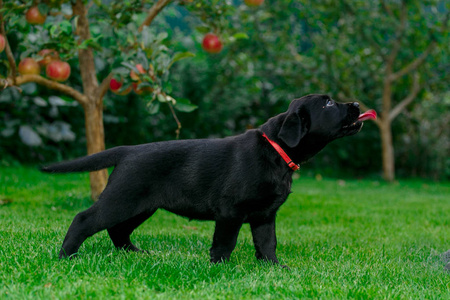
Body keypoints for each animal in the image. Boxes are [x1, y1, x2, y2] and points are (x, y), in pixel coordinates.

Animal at [42, 94, 374, 264]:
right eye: (328, 104)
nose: (357, 105)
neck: (276, 150)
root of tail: (127, 151)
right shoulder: (231, 212)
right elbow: (225, 242)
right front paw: (219, 269)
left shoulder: (265, 215)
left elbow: (268, 243)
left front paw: (274, 268)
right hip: (122, 198)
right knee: (85, 219)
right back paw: (66, 256)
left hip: (140, 205)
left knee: (118, 230)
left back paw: (135, 253)